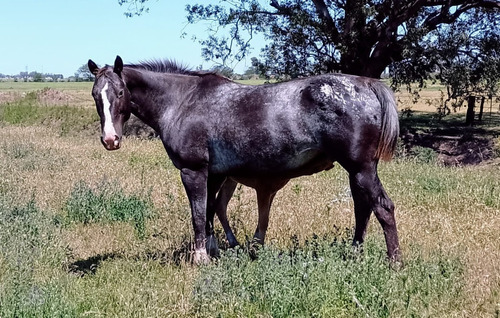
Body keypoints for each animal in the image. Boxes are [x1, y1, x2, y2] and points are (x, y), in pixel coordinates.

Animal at [88, 55, 400, 264]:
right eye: (95, 95)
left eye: (120, 92)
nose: (110, 140)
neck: (182, 102)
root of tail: (367, 84)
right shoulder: (215, 174)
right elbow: (210, 211)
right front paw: (213, 251)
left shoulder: (193, 171)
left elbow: (198, 213)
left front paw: (200, 257)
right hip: (356, 171)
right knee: (363, 209)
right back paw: (355, 252)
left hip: (360, 169)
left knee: (382, 207)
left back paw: (394, 262)